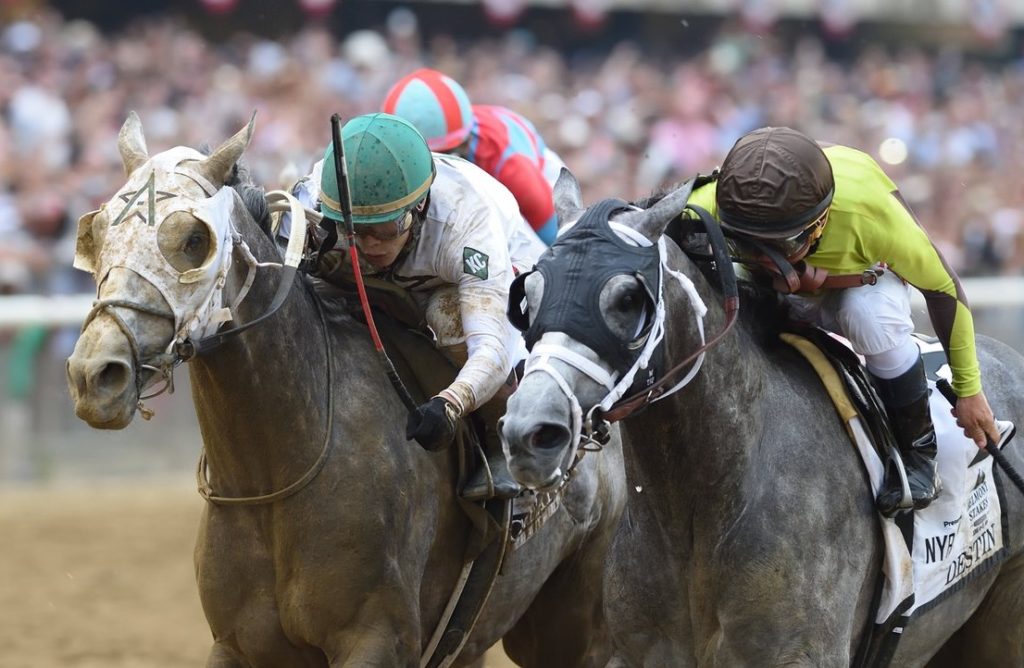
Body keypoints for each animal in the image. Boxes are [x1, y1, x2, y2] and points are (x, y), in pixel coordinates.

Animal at [66, 114, 622, 667]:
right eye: (96, 233)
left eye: (193, 240)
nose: (95, 374)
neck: (273, 476)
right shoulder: (235, 645)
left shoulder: (377, 638)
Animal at [499, 170, 1024, 663]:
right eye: (531, 292)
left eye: (628, 298)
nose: (530, 432)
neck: (700, 506)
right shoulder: (637, 651)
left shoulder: (800, 653)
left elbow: (939, 285)